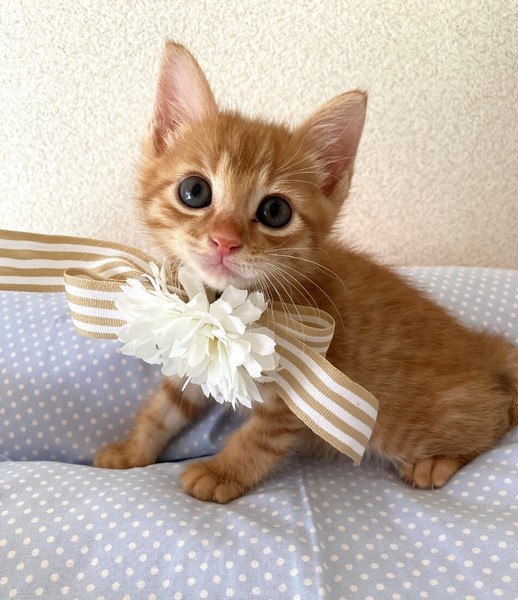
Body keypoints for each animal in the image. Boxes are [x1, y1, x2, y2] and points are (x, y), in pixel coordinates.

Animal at [94, 42, 518, 503]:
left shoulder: (302, 393)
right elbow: (165, 407)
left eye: (274, 212)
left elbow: (259, 439)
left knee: (495, 419)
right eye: (195, 191)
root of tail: (482, 347)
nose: (224, 240)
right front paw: (131, 449)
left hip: (407, 424)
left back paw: (438, 461)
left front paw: (220, 474)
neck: (229, 304)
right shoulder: (196, 356)